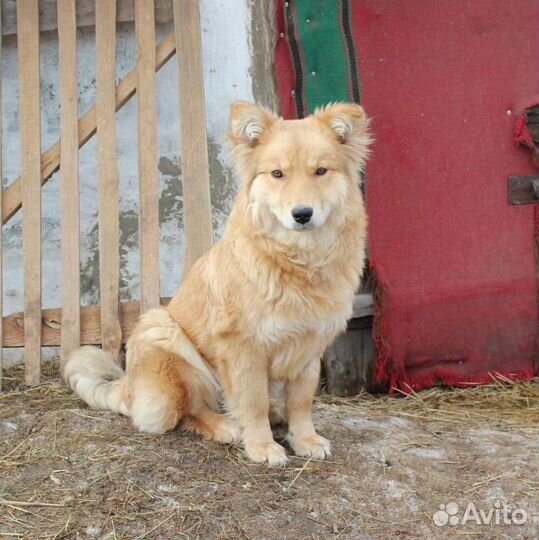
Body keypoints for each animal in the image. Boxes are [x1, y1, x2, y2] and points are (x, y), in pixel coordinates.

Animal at [64, 103, 372, 466]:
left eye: (321, 171)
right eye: (277, 174)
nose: (302, 214)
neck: (297, 260)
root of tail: (130, 385)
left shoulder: (310, 347)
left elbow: (301, 401)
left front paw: (305, 439)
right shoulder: (242, 348)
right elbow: (251, 401)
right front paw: (262, 446)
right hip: (161, 329)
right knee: (190, 409)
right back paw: (225, 425)